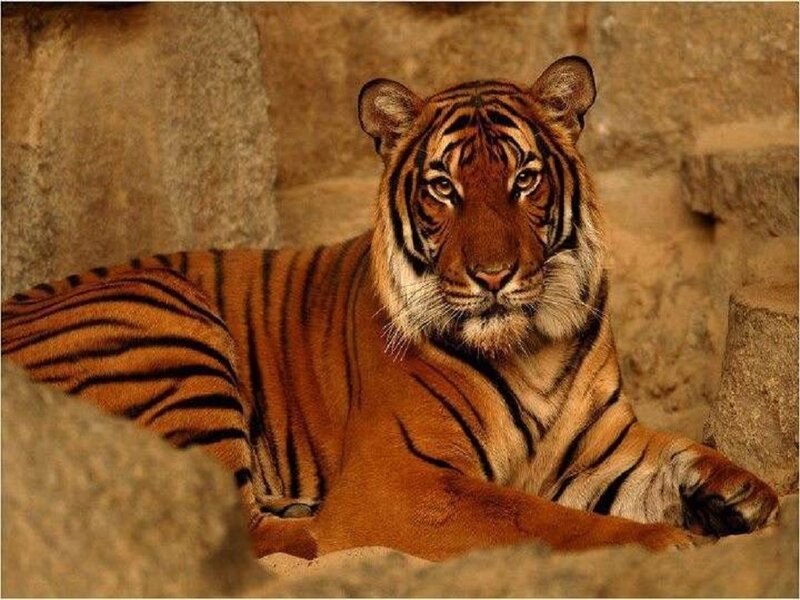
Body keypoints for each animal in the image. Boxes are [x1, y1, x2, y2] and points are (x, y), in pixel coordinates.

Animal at [1, 56, 779, 561]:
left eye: (525, 180)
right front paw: (665, 537)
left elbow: (677, 452)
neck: (531, 345)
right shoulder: (401, 480)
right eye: (443, 187)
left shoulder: (603, 444)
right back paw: (312, 526)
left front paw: (737, 493)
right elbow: (535, 516)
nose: (493, 276)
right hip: (165, 324)